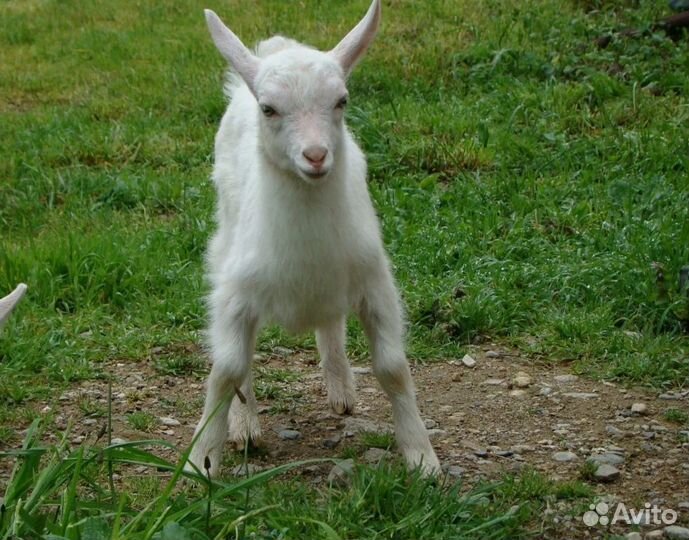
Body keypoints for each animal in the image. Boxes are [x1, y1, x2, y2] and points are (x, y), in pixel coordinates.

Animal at [188, 0, 440, 478]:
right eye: (269, 109)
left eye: (341, 101)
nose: (317, 156)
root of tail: (277, 46)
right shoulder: (235, 293)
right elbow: (227, 370)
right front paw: (204, 459)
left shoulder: (375, 281)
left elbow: (393, 368)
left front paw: (422, 459)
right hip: (225, 234)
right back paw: (245, 425)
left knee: (331, 322)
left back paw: (341, 387)